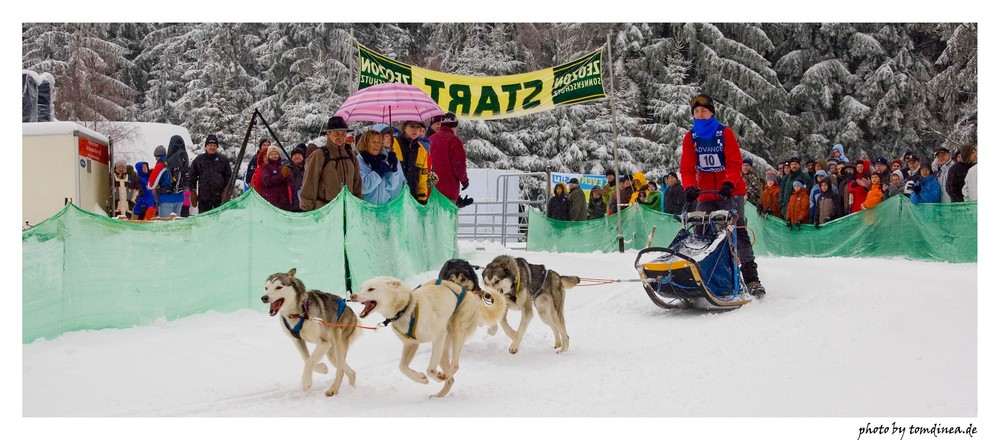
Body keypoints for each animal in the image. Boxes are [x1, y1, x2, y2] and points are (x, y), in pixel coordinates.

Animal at [262, 268, 360, 396]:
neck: (298, 313)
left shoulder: (323, 342)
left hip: (338, 344)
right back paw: (350, 388)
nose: (264, 297)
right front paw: (322, 368)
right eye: (266, 287)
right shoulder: (297, 340)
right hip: (331, 354)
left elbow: (309, 361)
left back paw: (333, 389)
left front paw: (306, 382)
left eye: (278, 287)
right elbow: (306, 358)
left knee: (341, 371)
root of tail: (350, 310)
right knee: (350, 371)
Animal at [352, 276, 484, 398]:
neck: (405, 309)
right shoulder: (411, 344)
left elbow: (430, 370)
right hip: (442, 350)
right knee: (450, 379)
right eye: (361, 288)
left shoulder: (439, 335)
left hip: (456, 331)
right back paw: (438, 395)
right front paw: (419, 377)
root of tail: (468, 292)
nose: (353, 296)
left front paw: (436, 376)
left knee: (455, 366)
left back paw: (446, 375)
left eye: (371, 289)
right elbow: (402, 367)